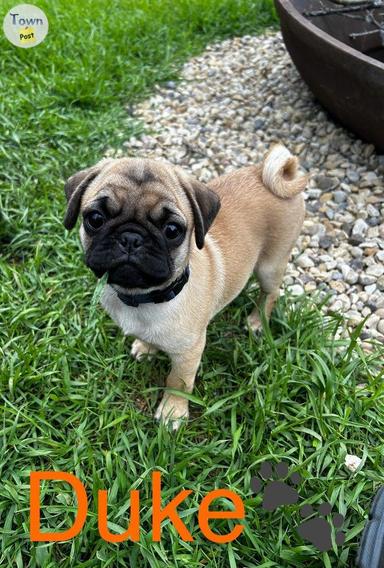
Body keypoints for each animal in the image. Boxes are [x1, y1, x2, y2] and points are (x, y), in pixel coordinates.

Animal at [64, 144, 308, 428]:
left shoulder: (188, 354)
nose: (131, 237)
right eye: (95, 218)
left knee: (270, 292)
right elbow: (147, 339)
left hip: (270, 265)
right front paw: (146, 347)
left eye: (172, 230)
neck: (144, 298)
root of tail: (273, 174)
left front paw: (172, 412)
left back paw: (257, 321)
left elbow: (178, 383)